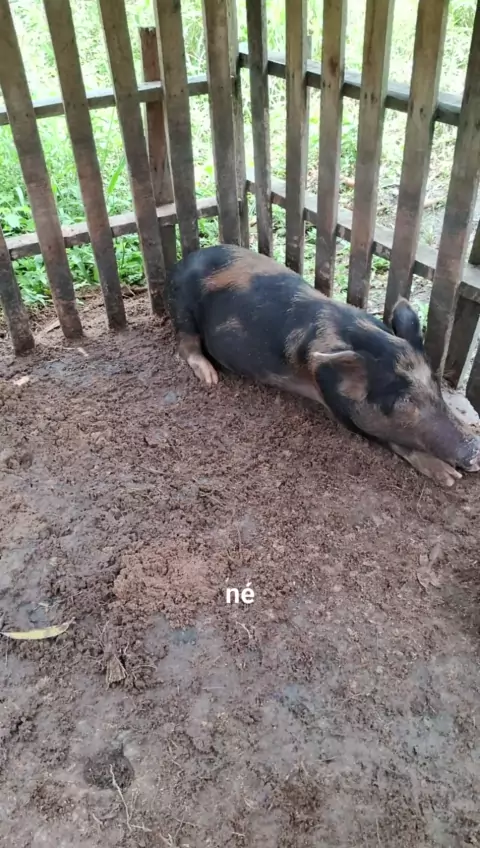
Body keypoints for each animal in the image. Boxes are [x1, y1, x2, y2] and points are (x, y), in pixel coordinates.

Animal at [165, 244, 480, 487]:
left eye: (435, 385)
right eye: (403, 402)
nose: (475, 451)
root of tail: (180, 263)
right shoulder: (339, 407)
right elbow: (390, 439)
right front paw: (450, 478)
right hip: (183, 310)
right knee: (186, 344)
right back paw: (210, 377)